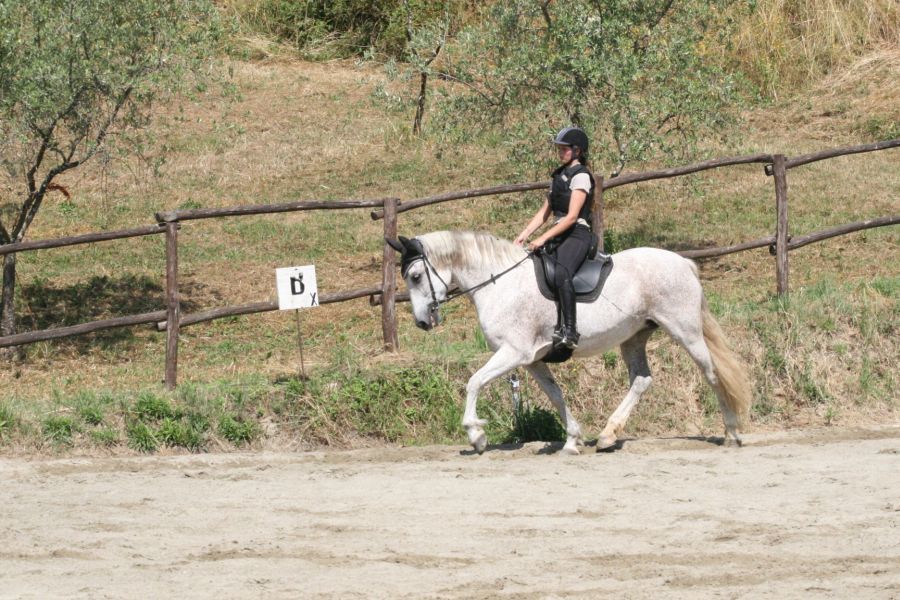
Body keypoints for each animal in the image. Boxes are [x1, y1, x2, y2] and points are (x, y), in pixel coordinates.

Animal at [386, 230, 752, 454]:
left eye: (415, 276)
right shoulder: (532, 360)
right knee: (641, 380)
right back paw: (607, 435)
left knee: (711, 374)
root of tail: (684, 262)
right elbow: (556, 395)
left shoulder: (513, 353)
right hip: (634, 337)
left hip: (684, 330)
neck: (499, 284)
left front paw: (476, 435)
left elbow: (474, 382)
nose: (422, 322)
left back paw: (732, 432)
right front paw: (572, 439)